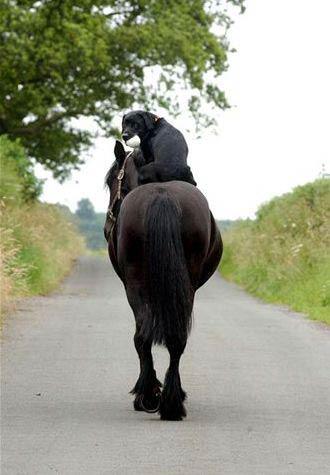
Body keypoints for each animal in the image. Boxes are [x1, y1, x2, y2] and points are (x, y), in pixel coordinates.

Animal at [104, 140, 222, 420]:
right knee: (174, 338)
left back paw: (150, 396)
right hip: (183, 288)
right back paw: (170, 401)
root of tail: (162, 194)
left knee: (142, 336)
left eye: (111, 181)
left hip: (136, 286)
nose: (105, 228)